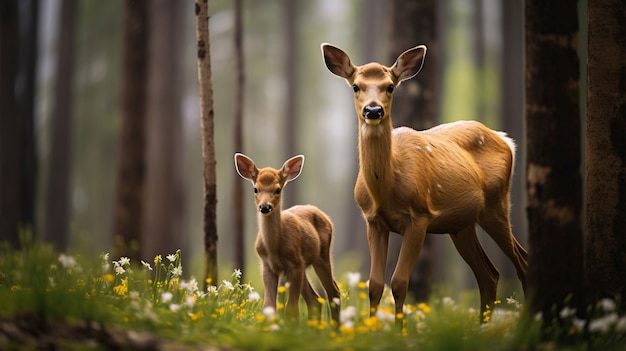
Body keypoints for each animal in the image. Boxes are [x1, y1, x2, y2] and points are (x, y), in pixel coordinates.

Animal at [235, 154, 342, 324]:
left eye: (278, 189)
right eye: (255, 189)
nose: (265, 207)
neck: (274, 248)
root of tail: (325, 216)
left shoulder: (295, 264)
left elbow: (291, 309)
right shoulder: (268, 266)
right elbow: (269, 306)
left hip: (322, 256)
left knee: (334, 291)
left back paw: (335, 327)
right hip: (305, 265)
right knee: (315, 299)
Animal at [322, 43, 528, 322]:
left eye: (390, 86)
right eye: (355, 86)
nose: (373, 110)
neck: (385, 190)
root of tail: (506, 140)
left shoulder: (419, 216)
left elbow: (399, 282)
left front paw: (398, 329)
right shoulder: (373, 220)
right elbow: (374, 284)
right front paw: (373, 327)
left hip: (496, 205)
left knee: (522, 262)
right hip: (461, 224)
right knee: (489, 275)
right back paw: (483, 325)